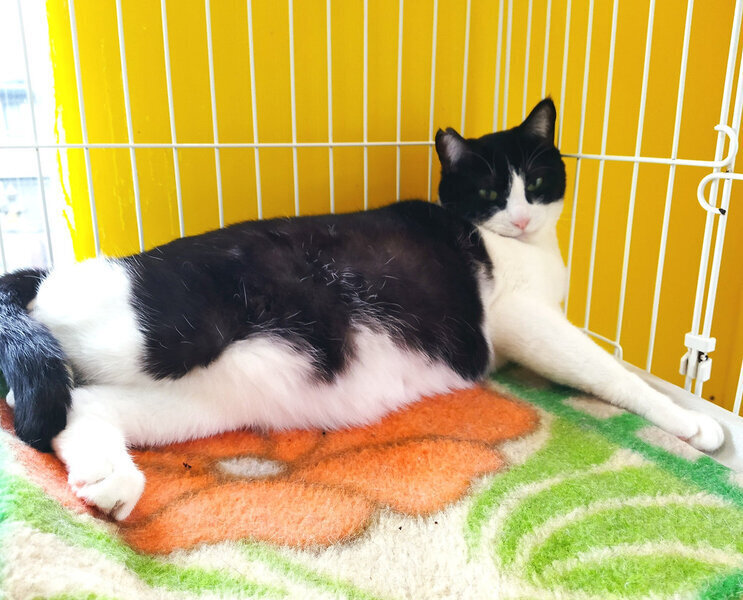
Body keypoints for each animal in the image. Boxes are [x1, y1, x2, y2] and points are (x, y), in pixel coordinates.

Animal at [0, 98, 722, 521]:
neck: (526, 248)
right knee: (41, 381)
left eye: (538, 181)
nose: (518, 217)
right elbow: (610, 371)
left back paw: (107, 479)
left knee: (79, 405)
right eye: (488, 191)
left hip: (203, 399)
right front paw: (690, 423)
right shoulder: (526, 321)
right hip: (160, 330)